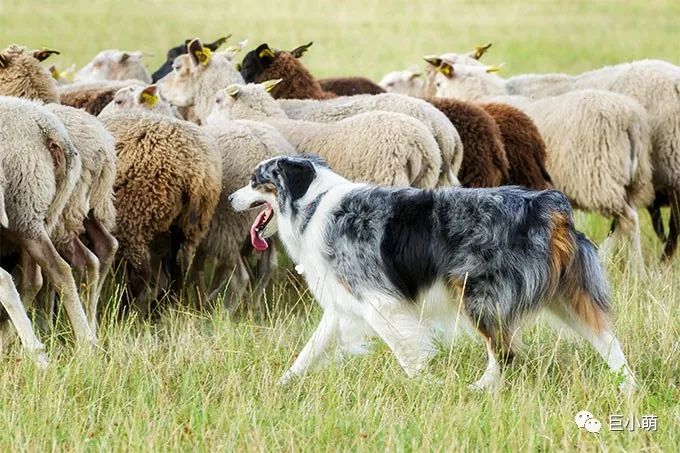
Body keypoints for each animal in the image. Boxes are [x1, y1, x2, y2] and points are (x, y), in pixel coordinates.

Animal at [99, 110, 220, 308]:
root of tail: (194, 169)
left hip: (135, 216)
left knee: (141, 272)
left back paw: (127, 309)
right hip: (191, 226)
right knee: (180, 268)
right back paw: (162, 307)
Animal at [230, 154, 636, 390]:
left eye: (255, 180)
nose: (230, 198)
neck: (313, 203)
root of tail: (548, 205)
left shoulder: (379, 302)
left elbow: (405, 350)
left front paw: (427, 386)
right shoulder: (343, 303)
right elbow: (309, 351)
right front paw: (282, 384)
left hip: (477, 294)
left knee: (505, 352)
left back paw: (480, 389)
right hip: (565, 295)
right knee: (606, 339)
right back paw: (628, 386)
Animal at [428, 63, 656, 268]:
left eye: (438, 83)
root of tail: (632, 119)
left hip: (598, 178)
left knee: (629, 219)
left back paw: (637, 269)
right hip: (632, 181)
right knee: (623, 221)